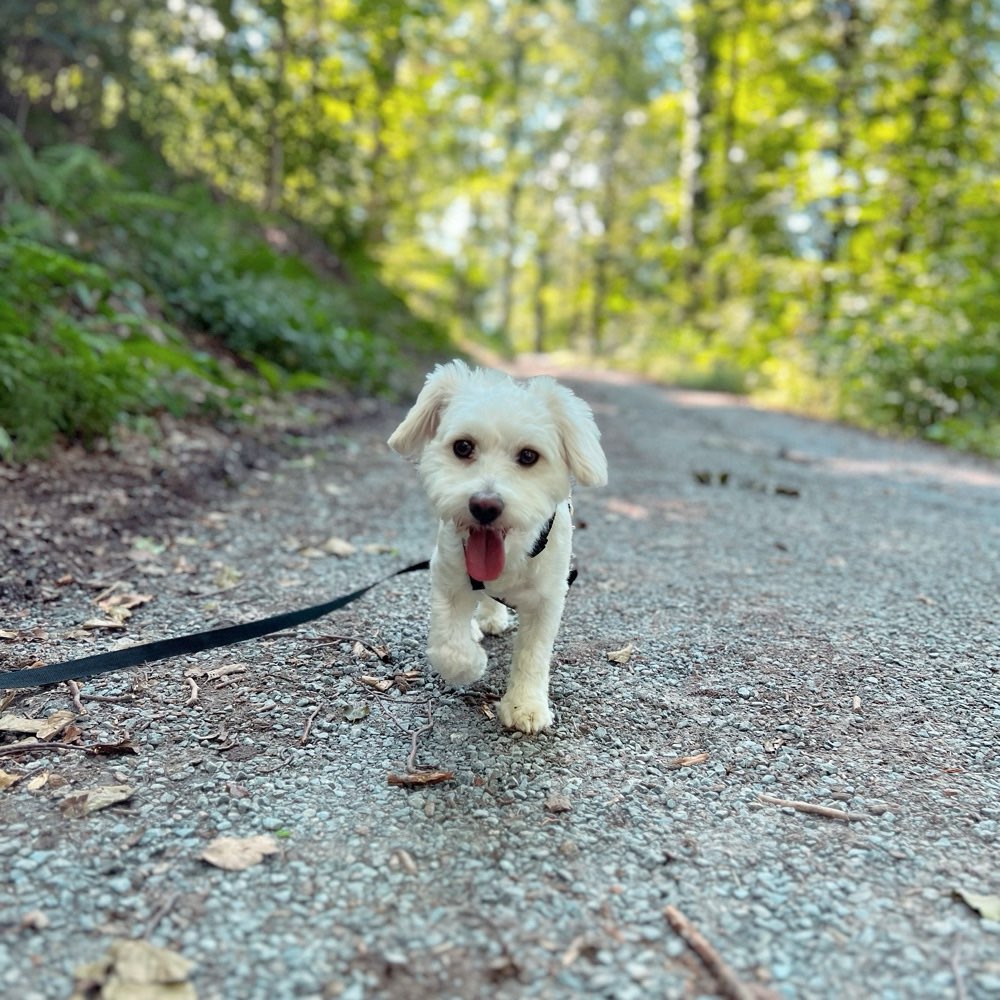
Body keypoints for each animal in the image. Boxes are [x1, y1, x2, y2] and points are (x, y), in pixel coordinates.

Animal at [388, 362, 608, 736]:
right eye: (463, 447)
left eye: (529, 456)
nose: (485, 506)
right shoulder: (447, 576)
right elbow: (449, 646)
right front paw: (471, 663)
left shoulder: (549, 598)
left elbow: (534, 654)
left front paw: (526, 705)